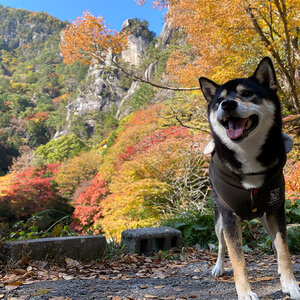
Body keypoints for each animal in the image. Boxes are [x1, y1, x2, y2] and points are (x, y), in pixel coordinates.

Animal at [199, 56, 300, 300]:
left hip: (265, 217)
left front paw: (290, 284)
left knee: (275, 245)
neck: (248, 158)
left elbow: (284, 250)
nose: (227, 105)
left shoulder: (276, 211)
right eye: (220, 100)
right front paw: (245, 292)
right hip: (219, 220)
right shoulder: (228, 217)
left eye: (246, 93)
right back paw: (218, 267)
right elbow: (237, 259)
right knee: (221, 245)